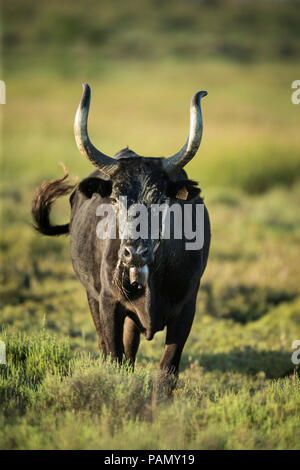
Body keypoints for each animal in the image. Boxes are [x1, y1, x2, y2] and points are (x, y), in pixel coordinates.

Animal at [31, 84, 211, 378]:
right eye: (115, 199)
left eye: (160, 198)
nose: (134, 253)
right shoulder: (108, 304)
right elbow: (114, 357)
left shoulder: (187, 308)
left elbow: (166, 371)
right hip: (92, 296)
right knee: (110, 350)